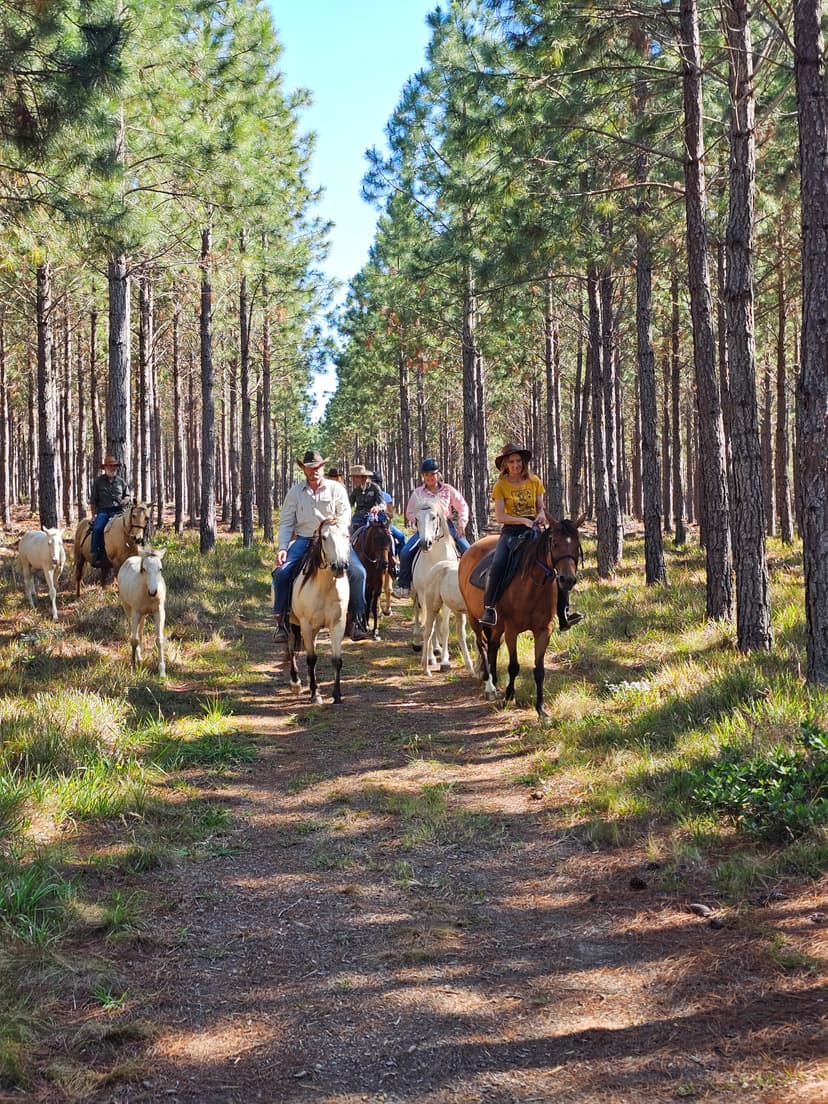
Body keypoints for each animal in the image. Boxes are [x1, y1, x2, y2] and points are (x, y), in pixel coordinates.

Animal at [287, 517, 351, 705]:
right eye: (324, 537)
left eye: (346, 535)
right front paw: (315, 694)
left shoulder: (338, 624)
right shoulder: (306, 624)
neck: (325, 586)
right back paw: (296, 683)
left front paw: (337, 695)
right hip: (292, 622)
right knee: (291, 647)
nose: (339, 566)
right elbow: (311, 658)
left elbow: (336, 660)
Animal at [410, 498, 459, 655]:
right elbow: (427, 624)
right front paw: (430, 656)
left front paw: (444, 655)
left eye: (433, 517)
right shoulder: (423, 594)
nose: (425, 543)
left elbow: (443, 627)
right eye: (417, 519)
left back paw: (437, 647)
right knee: (418, 612)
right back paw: (417, 642)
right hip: (416, 593)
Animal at [457, 514, 584, 717]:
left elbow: (539, 670)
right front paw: (509, 697)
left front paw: (541, 709)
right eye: (555, 543)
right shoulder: (512, 630)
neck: (533, 585)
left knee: (493, 646)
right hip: (474, 617)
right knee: (482, 645)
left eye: (576, 544)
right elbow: (514, 666)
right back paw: (489, 685)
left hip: (496, 626)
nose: (567, 579)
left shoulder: (543, 631)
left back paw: (494, 681)